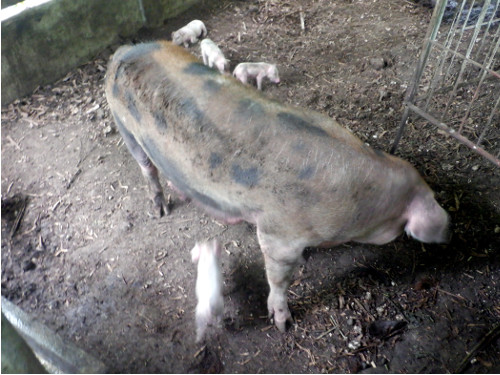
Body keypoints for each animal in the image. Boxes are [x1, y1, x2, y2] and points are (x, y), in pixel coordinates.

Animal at [104, 41, 450, 334]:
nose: (448, 233)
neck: (361, 200)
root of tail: (124, 50)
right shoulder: (278, 233)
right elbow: (278, 279)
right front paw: (283, 323)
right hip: (125, 128)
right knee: (147, 168)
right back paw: (160, 209)